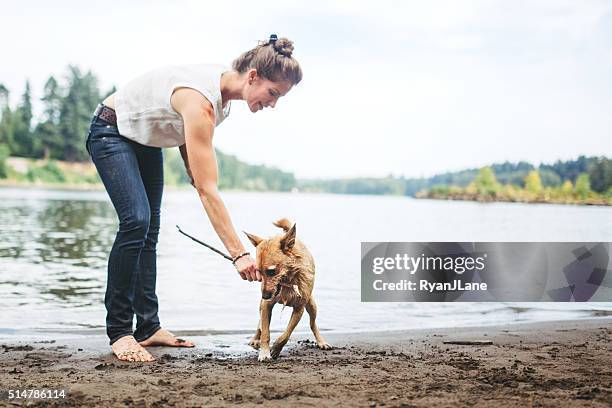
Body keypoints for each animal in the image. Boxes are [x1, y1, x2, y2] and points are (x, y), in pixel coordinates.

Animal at [244, 218, 332, 362]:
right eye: (259, 272)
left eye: (271, 271)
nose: (265, 296)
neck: (288, 283)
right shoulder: (266, 306)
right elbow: (265, 332)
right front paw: (264, 352)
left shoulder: (299, 309)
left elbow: (286, 334)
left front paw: (276, 348)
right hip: (261, 306)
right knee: (260, 324)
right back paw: (255, 338)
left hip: (312, 306)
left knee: (313, 324)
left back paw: (321, 342)